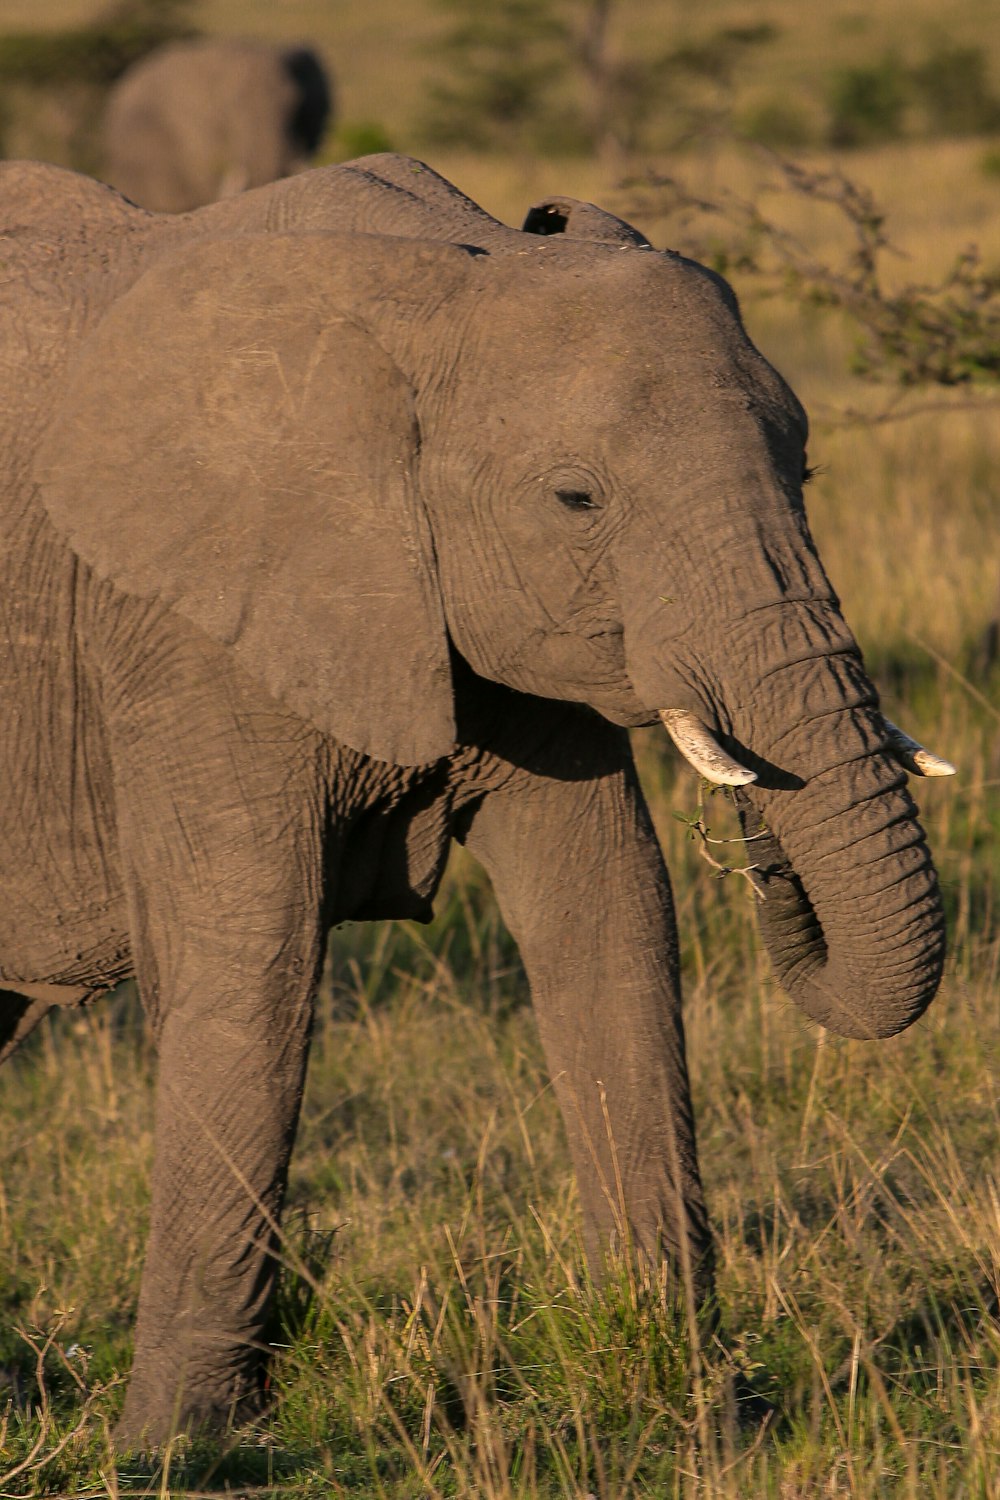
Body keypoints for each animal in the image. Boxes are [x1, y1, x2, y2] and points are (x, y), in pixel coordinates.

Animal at [0, 149, 953, 1440]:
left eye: (803, 469)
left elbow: (608, 914)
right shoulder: (180, 627)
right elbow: (251, 956)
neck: (443, 288)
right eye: (575, 501)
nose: (760, 840)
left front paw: (697, 1397)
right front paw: (179, 1445)